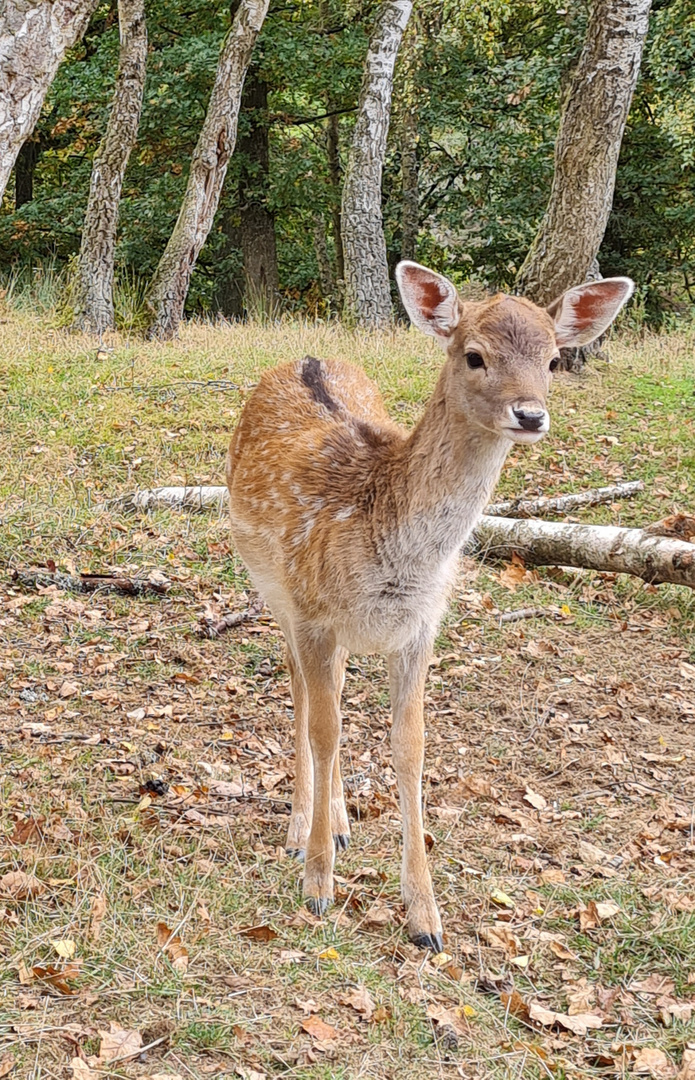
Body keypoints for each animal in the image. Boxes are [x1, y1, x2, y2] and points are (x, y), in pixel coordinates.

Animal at [225, 263, 634, 954]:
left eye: (553, 359)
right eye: (474, 355)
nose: (530, 414)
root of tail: (305, 358)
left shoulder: (421, 627)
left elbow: (410, 745)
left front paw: (425, 919)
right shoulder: (311, 612)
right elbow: (324, 728)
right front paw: (317, 886)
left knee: (330, 692)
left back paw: (339, 822)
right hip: (273, 589)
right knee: (303, 696)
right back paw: (303, 828)